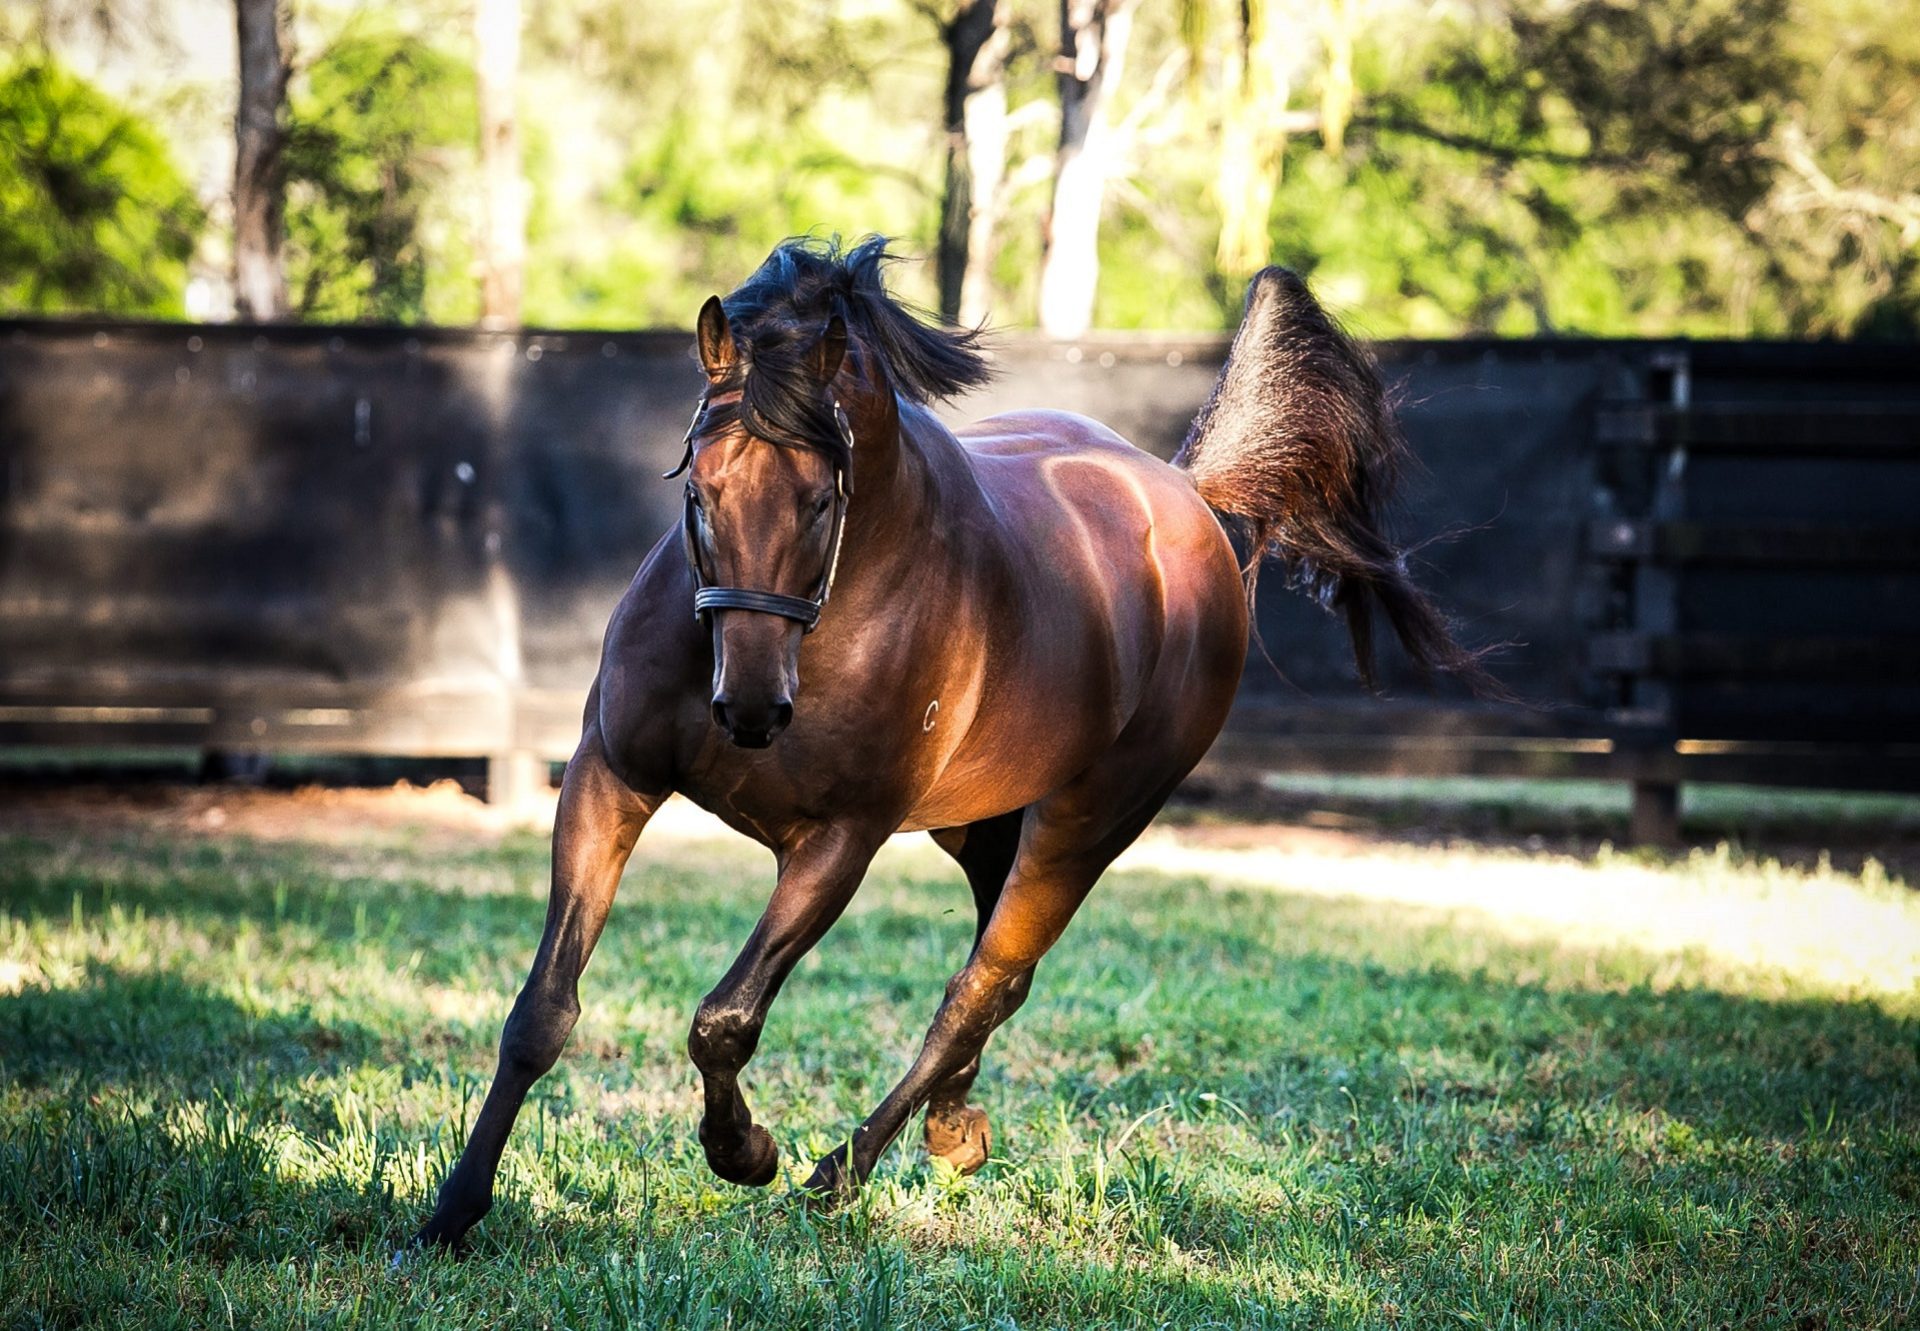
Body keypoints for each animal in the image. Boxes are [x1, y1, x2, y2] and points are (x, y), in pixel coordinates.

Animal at [412, 231, 1489, 1244]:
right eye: (698, 492)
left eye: (821, 498)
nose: (751, 709)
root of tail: (1185, 496)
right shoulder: (611, 777)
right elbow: (541, 1011)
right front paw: (452, 1211)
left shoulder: (838, 841)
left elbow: (725, 1020)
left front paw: (745, 1150)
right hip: (979, 823)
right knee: (993, 969)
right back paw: (952, 1124)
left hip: (1091, 820)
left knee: (983, 981)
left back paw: (840, 1172)